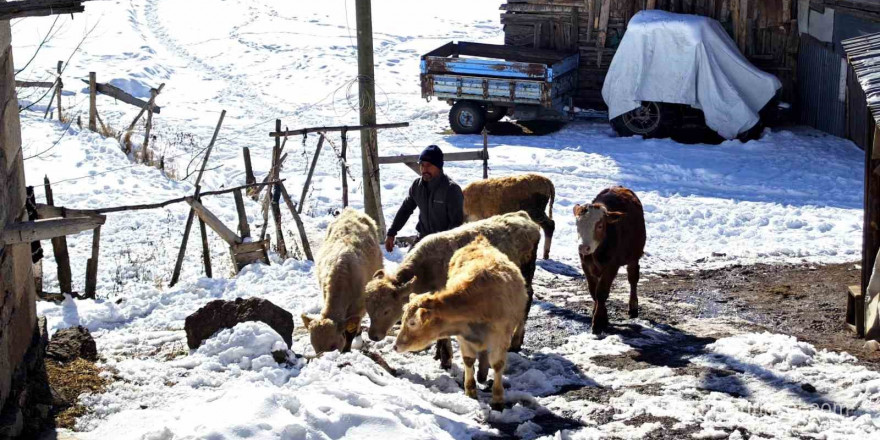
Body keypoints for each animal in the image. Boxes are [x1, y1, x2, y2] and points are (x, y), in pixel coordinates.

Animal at [302, 207, 382, 354]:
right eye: (314, 346)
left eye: (333, 346)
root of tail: (349, 210)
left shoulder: (359, 307)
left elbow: (350, 332)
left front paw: (347, 350)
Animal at [396, 235, 524, 410]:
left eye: (413, 323)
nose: (395, 346)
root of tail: (479, 241)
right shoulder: (463, 337)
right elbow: (468, 360)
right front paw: (470, 392)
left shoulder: (501, 337)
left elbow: (498, 364)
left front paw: (498, 400)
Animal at [576, 186, 644, 334]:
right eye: (577, 224)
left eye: (600, 226)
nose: (583, 247)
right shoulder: (585, 265)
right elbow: (593, 291)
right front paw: (601, 316)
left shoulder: (612, 265)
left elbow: (601, 292)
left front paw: (598, 322)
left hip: (634, 255)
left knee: (633, 278)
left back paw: (633, 307)